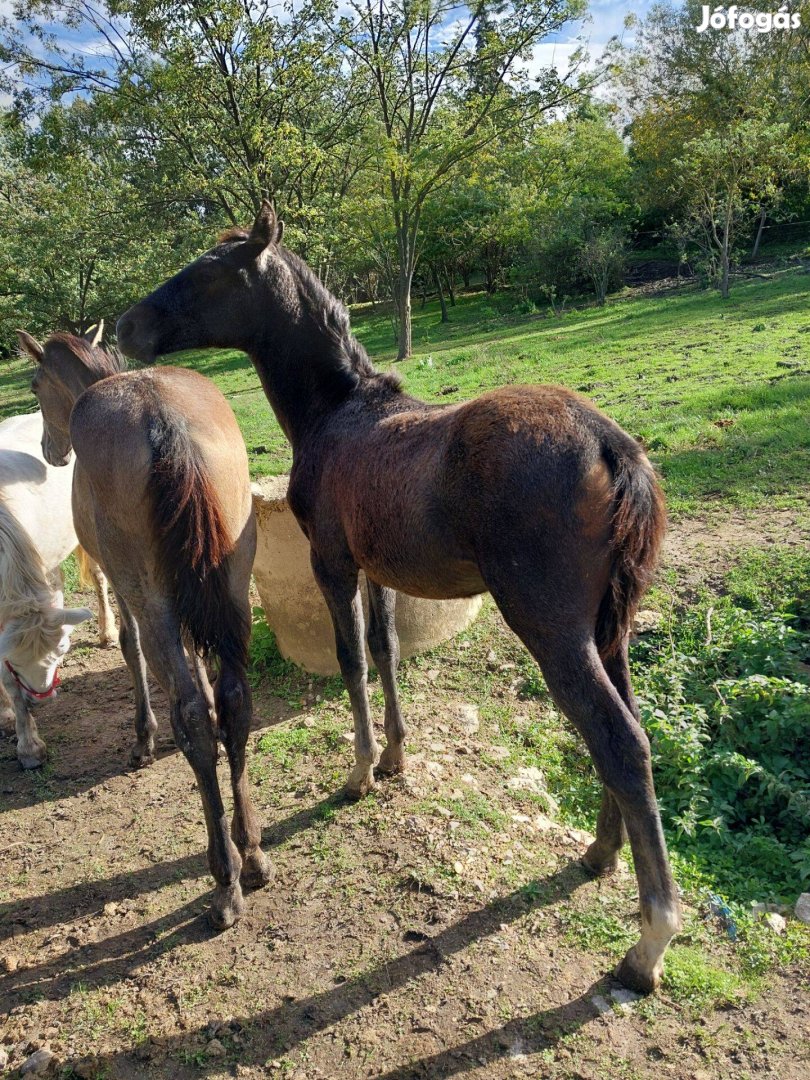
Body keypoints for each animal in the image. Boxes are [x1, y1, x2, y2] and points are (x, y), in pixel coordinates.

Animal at [18, 328, 273, 928]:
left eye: (35, 385)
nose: (50, 449)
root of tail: (161, 415)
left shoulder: (126, 587)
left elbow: (129, 650)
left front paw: (142, 740)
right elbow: (205, 677)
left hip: (152, 598)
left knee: (193, 718)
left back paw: (225, 878)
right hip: (231, 586)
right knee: (233, 701)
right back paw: (251, 850)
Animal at [117, 204, 682, 993]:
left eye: (206, 273)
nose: (128, 325)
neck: (335, 411)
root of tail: (612, 445)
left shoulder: (332, 563)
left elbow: (353, 660)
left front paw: (358, 773)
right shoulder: (376, 569)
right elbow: (385, 652)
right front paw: (393, 758)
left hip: (553, 630)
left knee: (621, 742)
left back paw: (647, 943)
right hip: (609, 629)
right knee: (625, 730)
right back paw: (598, 855)